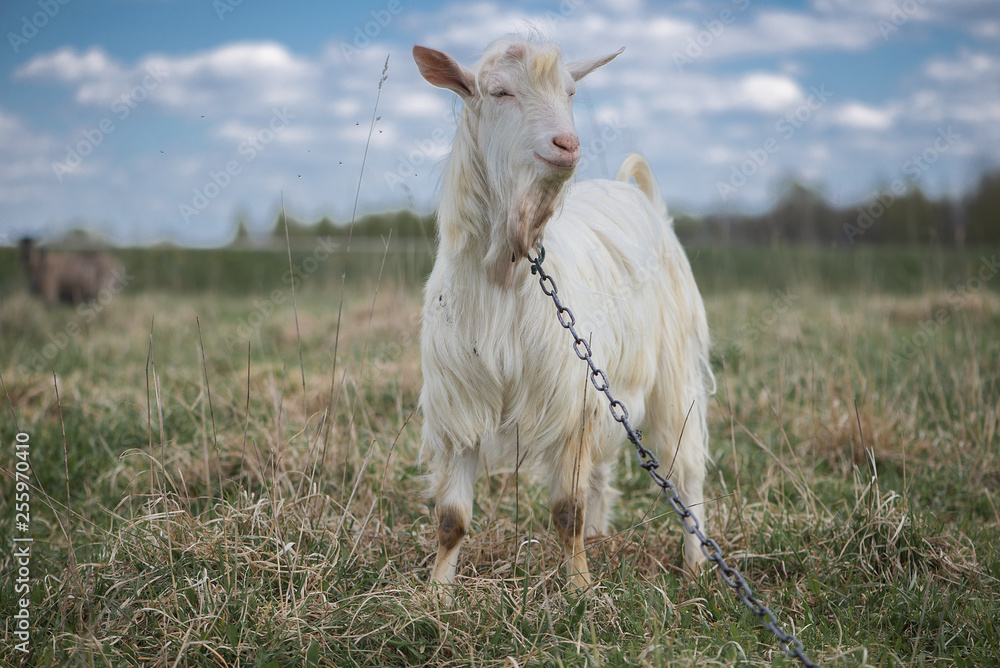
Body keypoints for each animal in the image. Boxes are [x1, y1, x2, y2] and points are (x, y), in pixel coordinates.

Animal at [414, 37, 713, 593]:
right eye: (499, 91)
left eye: (571, 91)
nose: (567, 144)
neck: (508, 274)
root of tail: (633, 191)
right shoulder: (458, 400)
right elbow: (451, 517)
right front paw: (437, 592)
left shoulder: (570, 397)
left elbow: (566, 508)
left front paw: (579, 588)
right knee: (601, 471)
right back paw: (600, 537)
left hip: (671, 370)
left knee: (686, 472)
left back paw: (697, 565)